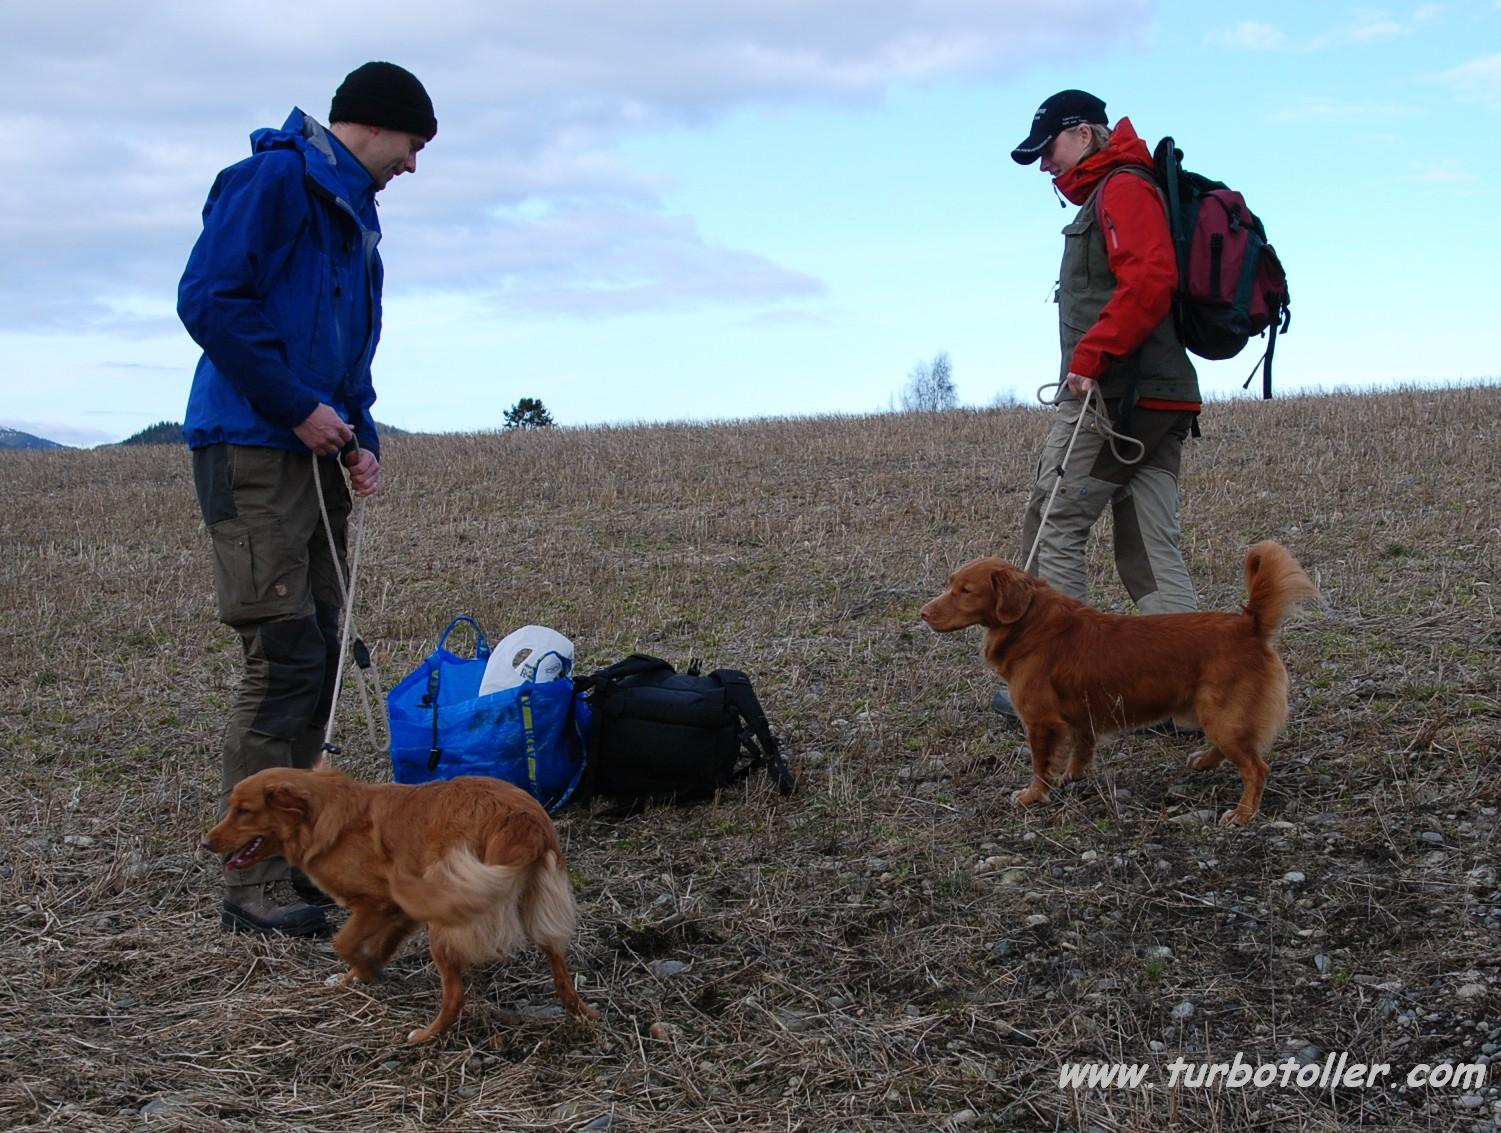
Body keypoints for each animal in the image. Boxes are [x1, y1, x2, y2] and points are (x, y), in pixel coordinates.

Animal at [201, 768, 597, 1044]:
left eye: (244, 811)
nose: (205, 842)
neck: (323, 818)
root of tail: (520, 821)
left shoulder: (377, 903)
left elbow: (343, 943)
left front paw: (364, 971)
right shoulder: (402, 911)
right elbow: (380, 945)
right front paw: (361, 974)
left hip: (445, 923)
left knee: (455, 996)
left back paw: (424, 1036)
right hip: (532, 911)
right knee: (562, 978)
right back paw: (585, 1015)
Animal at [918, 540, 1320, 822]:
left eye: (965, 591)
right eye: (951, 585)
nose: (923, 613)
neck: (1031, 623)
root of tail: (1249, 624)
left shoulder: (1041, 722)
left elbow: (1040, 765)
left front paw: (1032, 796)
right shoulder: (1079, 714)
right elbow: (1081, 750)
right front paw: (1072, 778)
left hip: (1221, 714)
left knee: (1256, 768)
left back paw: (1243, 813)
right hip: (1216, 714)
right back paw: (1204, 762)